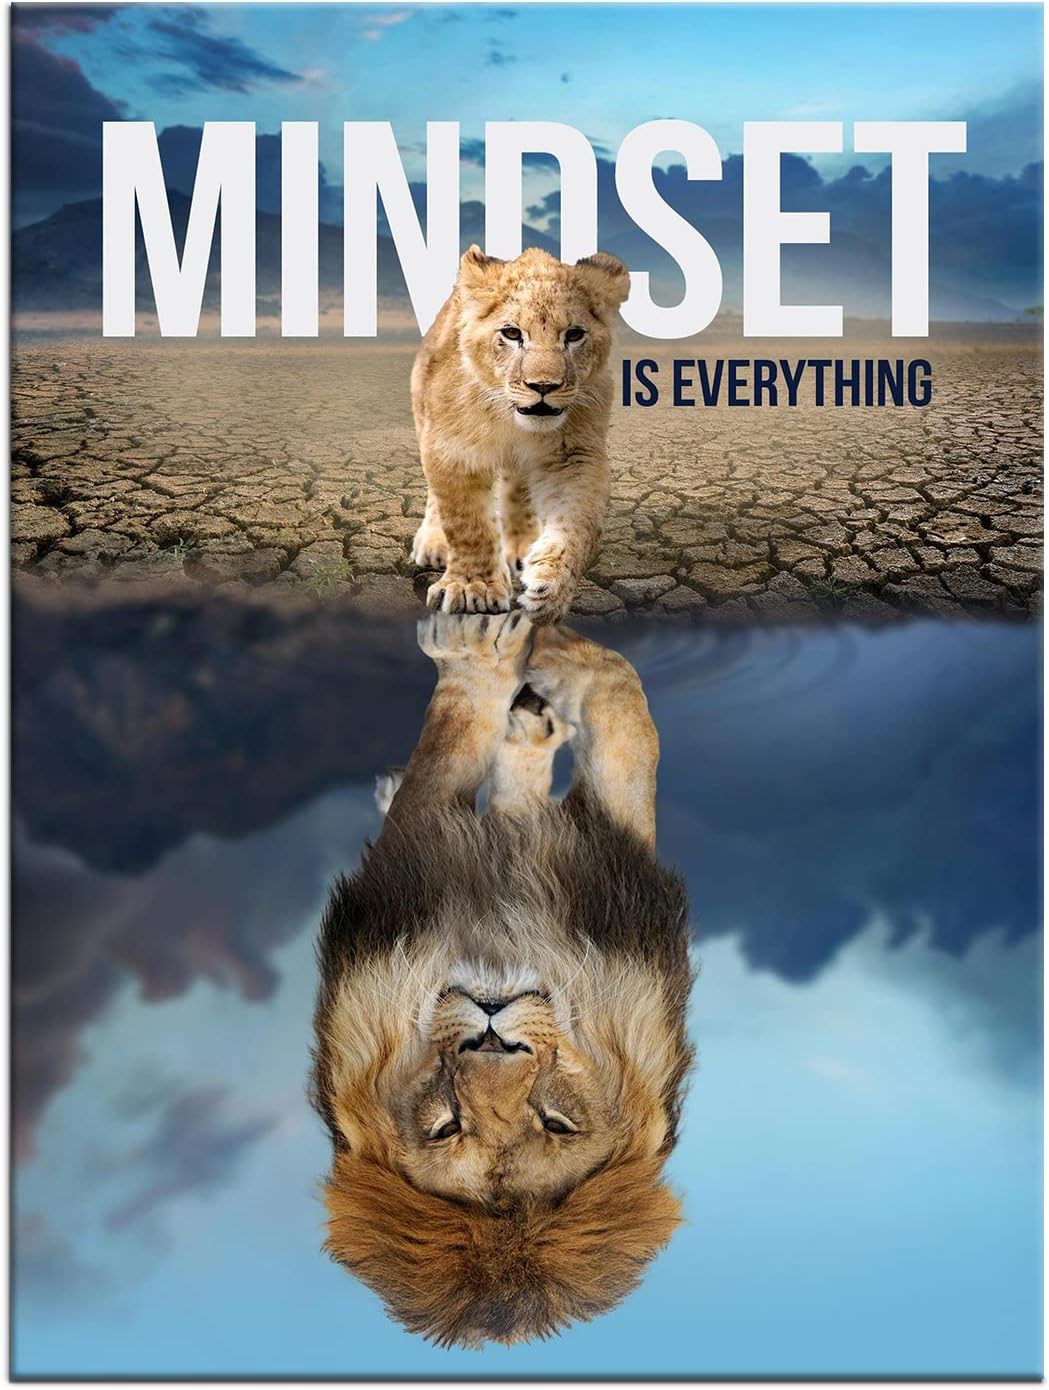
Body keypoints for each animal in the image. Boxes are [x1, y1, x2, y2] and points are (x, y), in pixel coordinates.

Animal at [311, 612, 694, 1348]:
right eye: (445, 1127)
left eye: (556, 1123)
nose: (491, 1038)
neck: (501, 939)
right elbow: (618, 716)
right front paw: (510, 659)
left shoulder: (609, 868)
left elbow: (622, 722)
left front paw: (512, 659)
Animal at [409, 245, 631, 624]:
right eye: (512, 334)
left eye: (574, 334)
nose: (543, 386)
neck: (510, 420)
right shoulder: (452, 450)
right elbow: (466, 523)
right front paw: (473, 588)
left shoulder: (574, 455)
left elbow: (579, 524)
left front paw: (551, 587)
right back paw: (434, 543)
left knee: (519, 488)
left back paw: (522, 547)